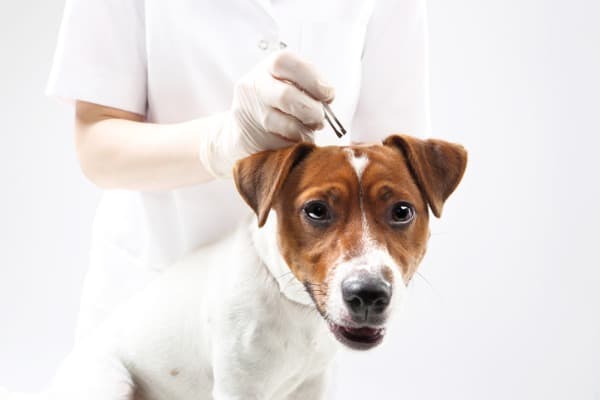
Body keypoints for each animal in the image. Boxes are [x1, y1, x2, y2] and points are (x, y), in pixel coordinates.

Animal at [11, 134, 466, 400]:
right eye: (316, 210)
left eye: (402, 211)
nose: (368, 294)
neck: (293, 308)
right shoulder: (238, 388)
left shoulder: (313, 385)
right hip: (109, 381)